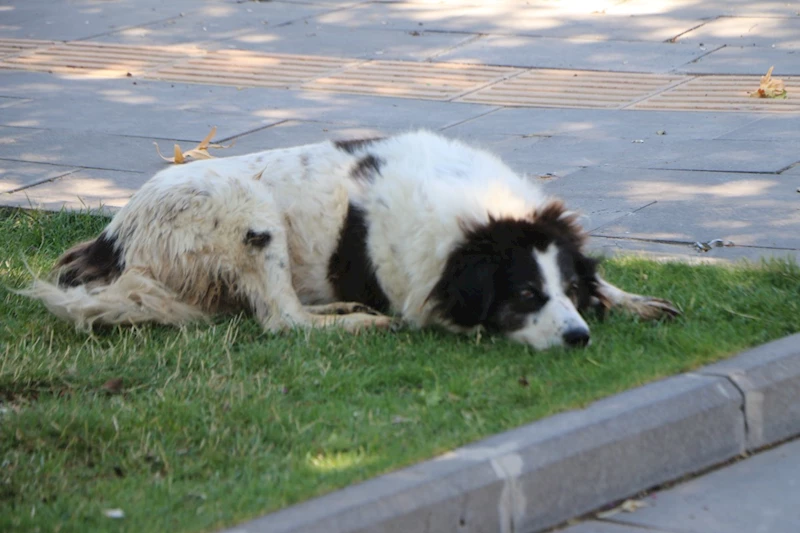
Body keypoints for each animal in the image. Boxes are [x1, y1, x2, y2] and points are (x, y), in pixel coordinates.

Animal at [21, 131, 680, 350]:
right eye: (523, 296)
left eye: (564, 288)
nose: (578, 337)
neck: (477, 219)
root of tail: (113, 238)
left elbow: (602, 280)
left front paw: (625, 298)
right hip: (249, 210)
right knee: (282, 320)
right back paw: (359, 320)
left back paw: (342, 308)